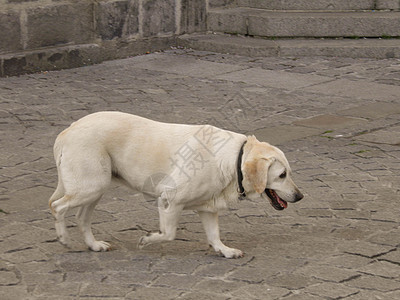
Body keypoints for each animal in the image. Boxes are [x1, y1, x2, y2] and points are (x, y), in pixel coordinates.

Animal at [48, 112, 302, 258]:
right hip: (91, 186)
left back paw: (94, 245)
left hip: (95, 189)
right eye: (282, 175)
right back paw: (64, 239)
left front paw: (224, 250)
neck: (233, 160)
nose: (300, 196)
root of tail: (67, 130)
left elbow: (214, 235)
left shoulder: (208, 207)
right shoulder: (169, 199)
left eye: (288, 173)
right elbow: (168, 234)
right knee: (57, 207)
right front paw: (147, 239)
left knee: (81, 217)